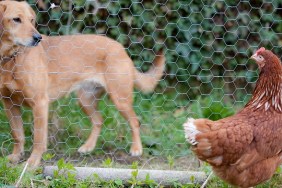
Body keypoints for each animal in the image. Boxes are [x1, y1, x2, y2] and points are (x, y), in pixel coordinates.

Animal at [0, 0, 165, 167]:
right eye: (16, 19)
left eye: (31, 20)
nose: (38, 38)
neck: (11, 60)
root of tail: (120, 48)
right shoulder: (9, 103)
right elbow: (17, 134)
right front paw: (16, 156)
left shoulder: (40, 103)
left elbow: (38, 140)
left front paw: (32, 163)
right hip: (85, 100)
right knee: (99, 121)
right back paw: (88, 147)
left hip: (120, 100)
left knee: (135, 121)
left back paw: (136, 149)